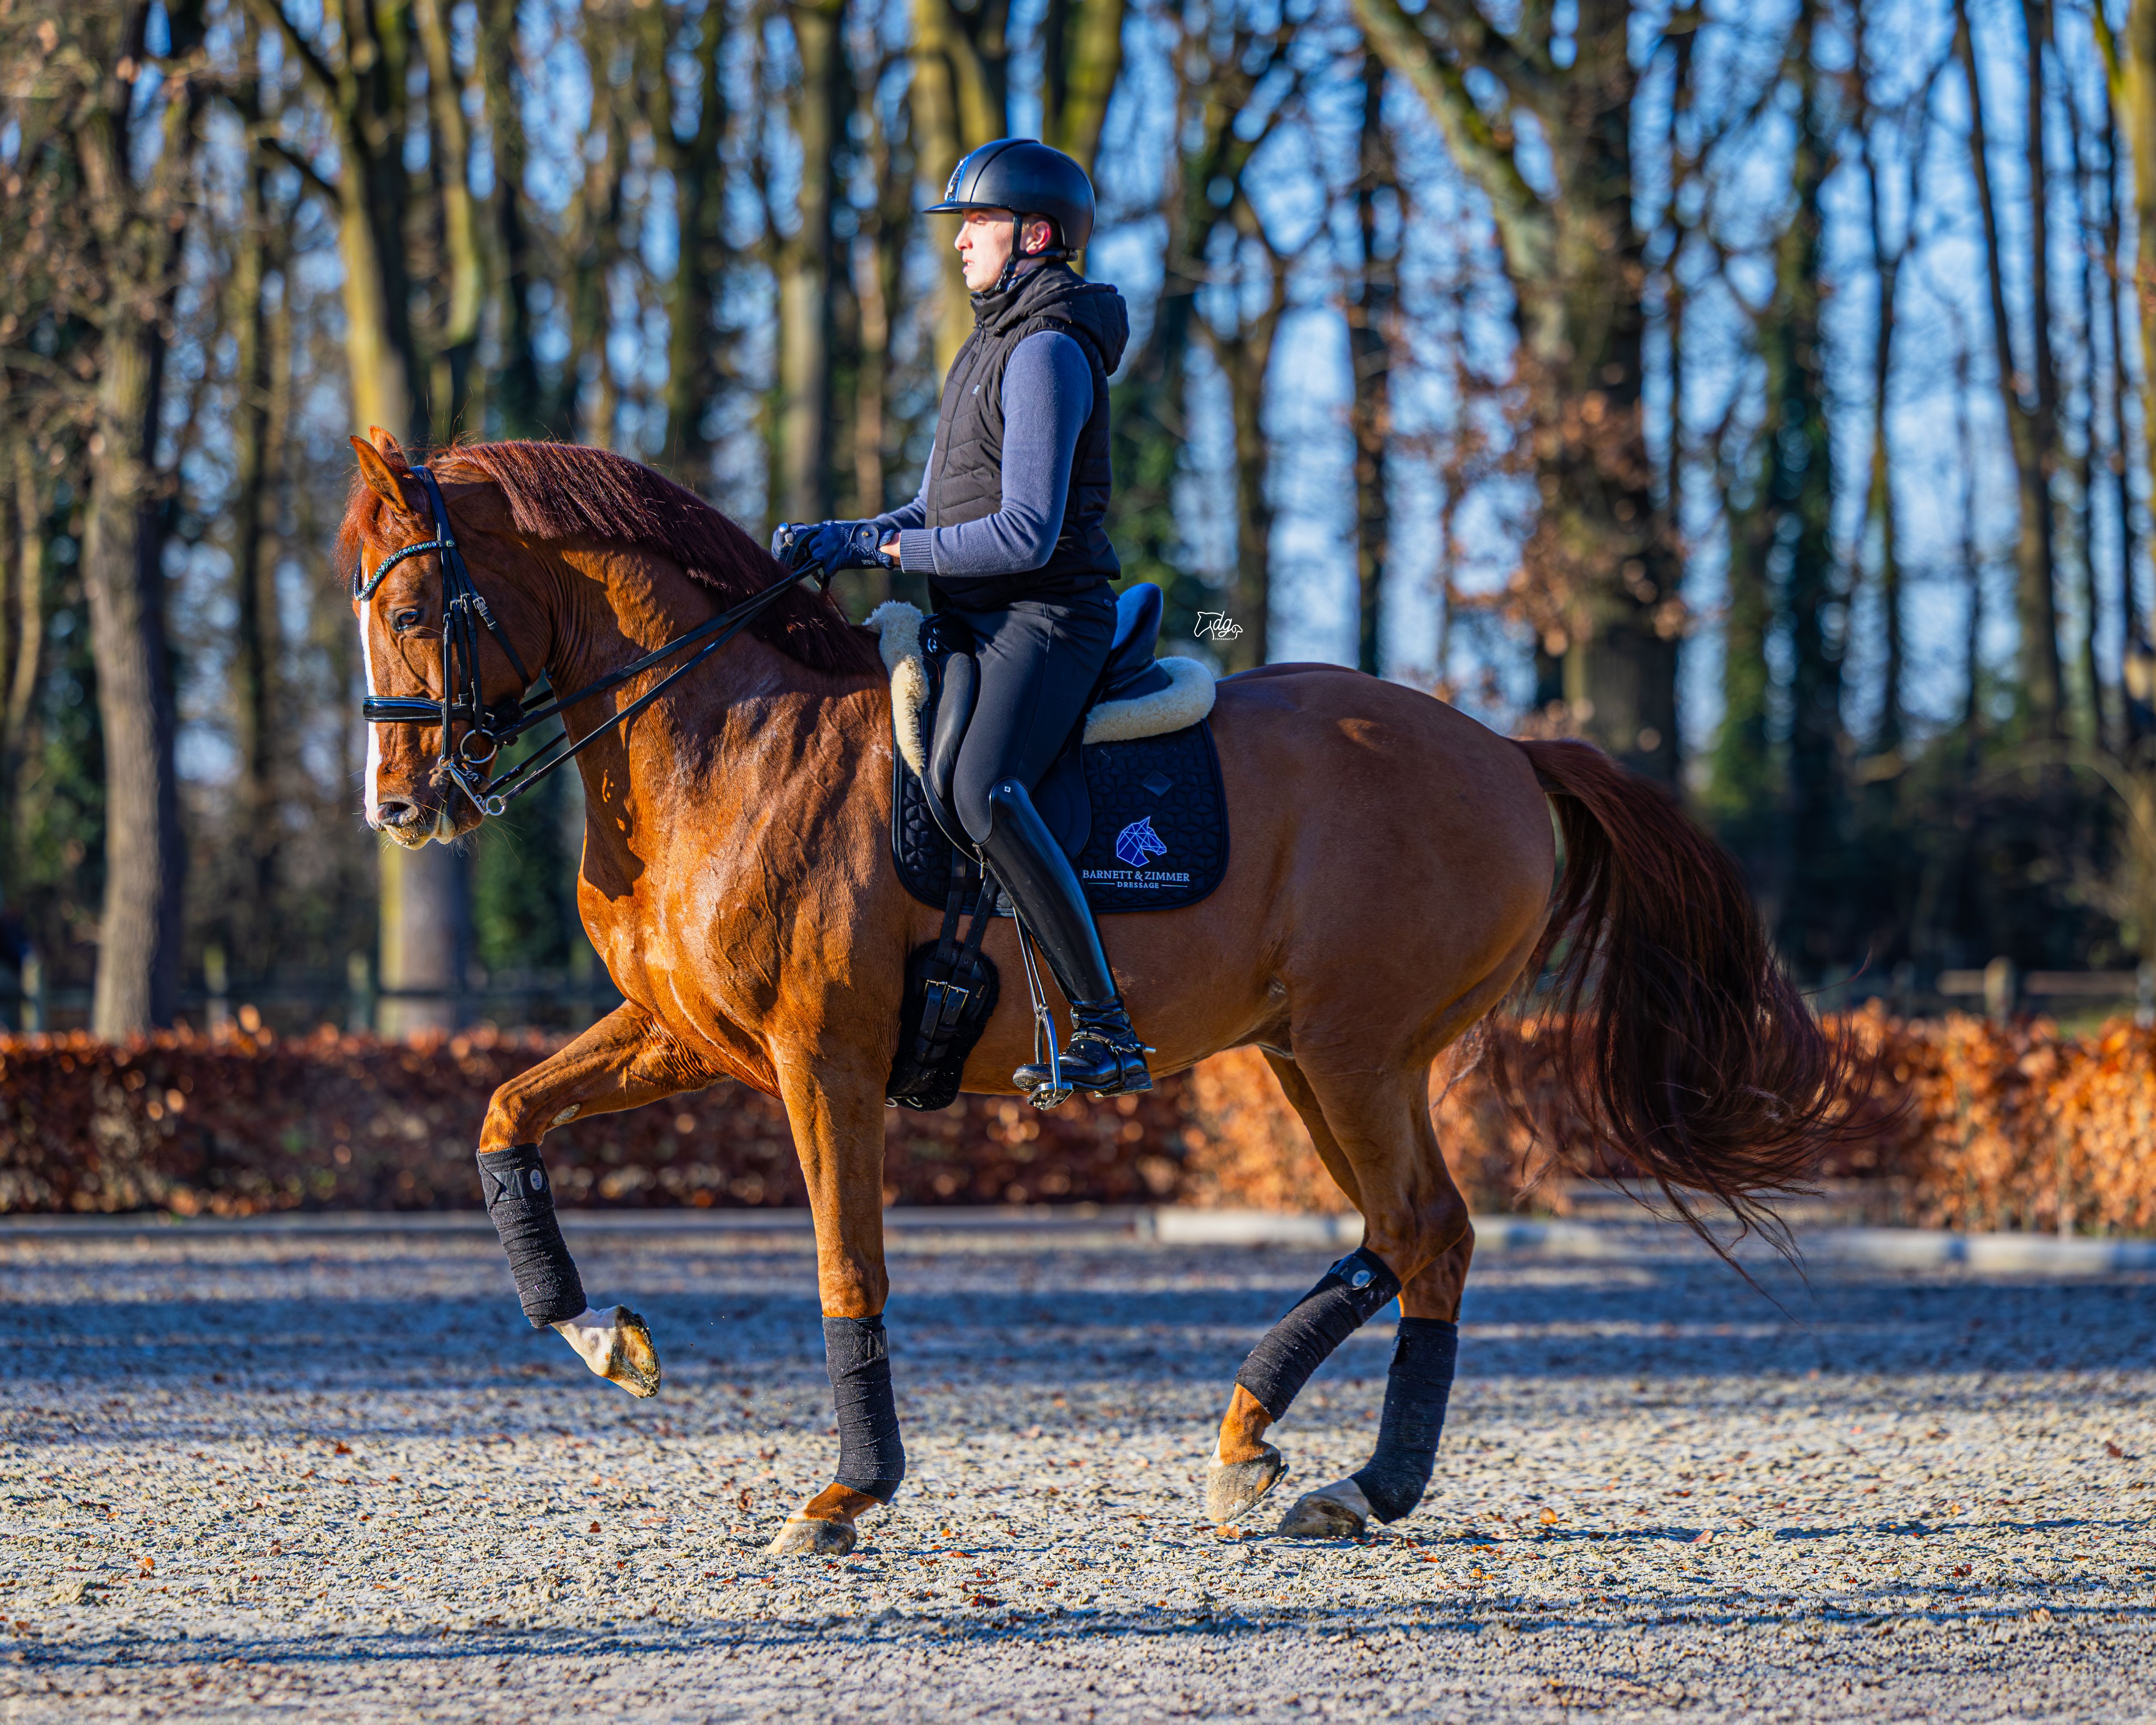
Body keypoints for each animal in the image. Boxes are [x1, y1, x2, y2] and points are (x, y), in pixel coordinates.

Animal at [341, 429, 1850, 1554]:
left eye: (413, 608)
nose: (402, 807)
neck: (730, 740)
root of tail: (1508, 751)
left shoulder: (821, 1060)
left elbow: (847, 1265)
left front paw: (846, 1494)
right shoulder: (688, 1036)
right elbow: (504, 1115)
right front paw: (601, 1335)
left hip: (1358, 1051)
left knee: (1424, 1227)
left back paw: (1354, 1477)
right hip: (1309, 1055)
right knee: (1410, 1231)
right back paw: (1271, 1449)